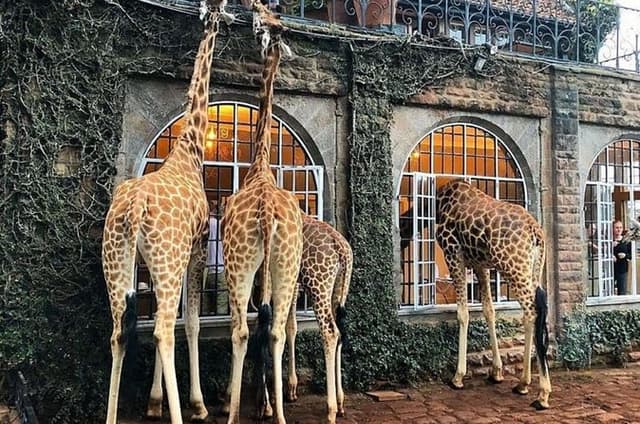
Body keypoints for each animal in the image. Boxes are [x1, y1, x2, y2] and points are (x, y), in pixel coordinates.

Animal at [102, 2, 232, 423]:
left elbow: (171, 318)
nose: (227, 17)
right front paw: (196, 403)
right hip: (168, 257)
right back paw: (186, 412)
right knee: (160, 329)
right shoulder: (196, 249)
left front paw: (153, 401)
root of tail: (133, 208)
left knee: (120, 331)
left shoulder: (153, 264)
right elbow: (188, 322)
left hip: (118, 259)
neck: (189, 150)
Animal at [435, 179, 551, 410]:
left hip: (513, 267)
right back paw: (523, 384)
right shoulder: (481, 264)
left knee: (532, 311)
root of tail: (536, 232)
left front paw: (458, 377)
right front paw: (496, 371)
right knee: (535, 311)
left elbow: (463, 313)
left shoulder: (453, 253)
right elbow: (489, 310)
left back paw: (541, 393)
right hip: (533, 268)